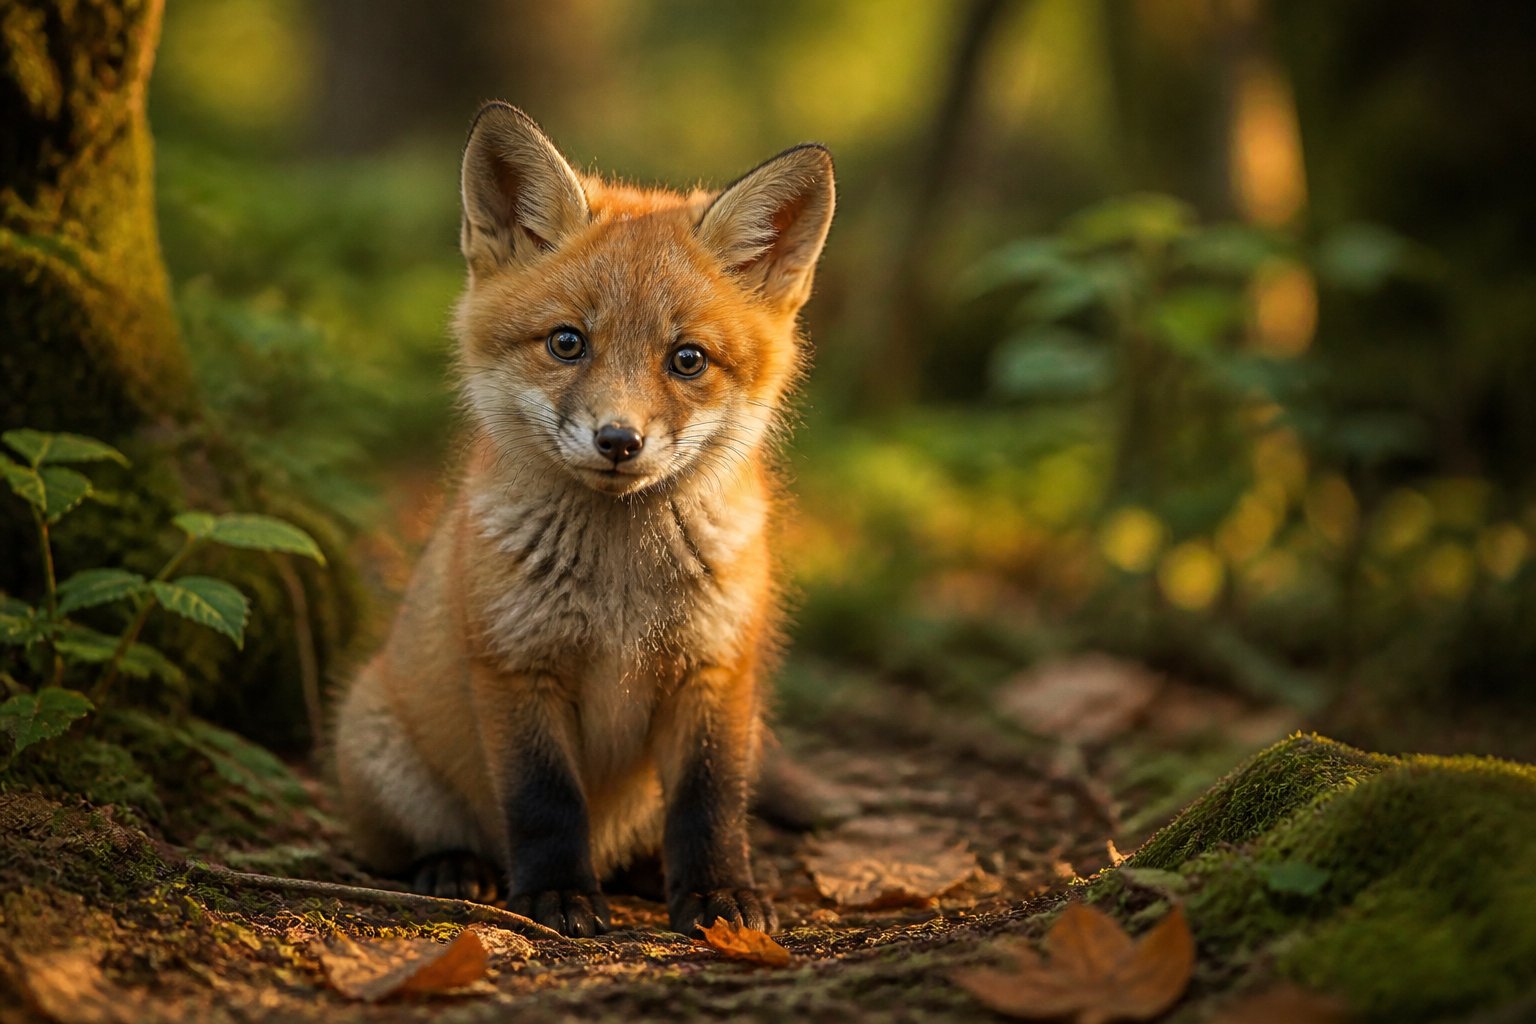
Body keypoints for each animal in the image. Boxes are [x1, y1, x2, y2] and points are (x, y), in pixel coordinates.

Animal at [332, 103, 835, 938]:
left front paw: (719, 894)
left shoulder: (714, 670)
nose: (619, 441)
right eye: (568, 342)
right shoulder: (517, 665)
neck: (620, 591)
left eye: (688, 360)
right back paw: (456, 867)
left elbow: (710, 803)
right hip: (384, 751)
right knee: (424, 839)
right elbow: (544, 802)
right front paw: (558, 895)